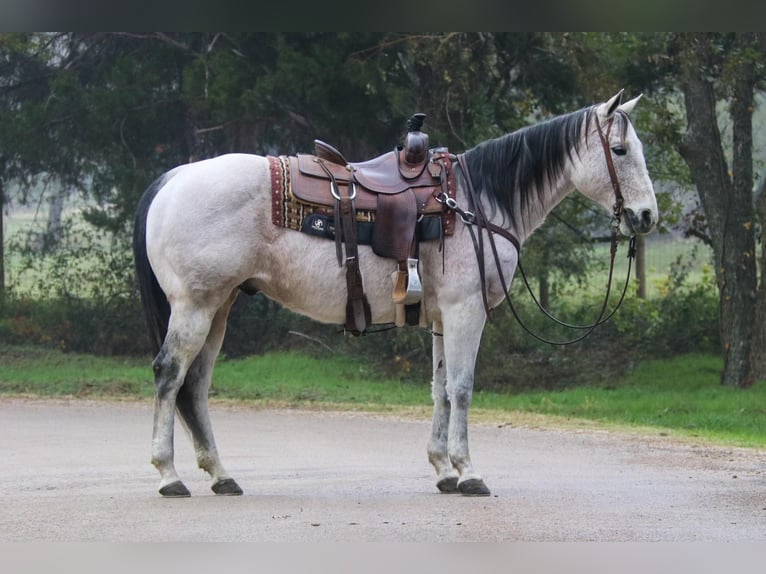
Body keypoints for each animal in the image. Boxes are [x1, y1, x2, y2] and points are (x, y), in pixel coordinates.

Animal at [134, 91, 660, 500]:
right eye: (620, 150)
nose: (647, 216)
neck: (474, 204)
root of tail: (173, 179)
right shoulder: (466, 312)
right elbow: (462, 388)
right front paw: (469, 473)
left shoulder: (442, 319)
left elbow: (440, 390)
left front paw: (444, 470)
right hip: (196, 307)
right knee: (169, 375)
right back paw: (169, 476)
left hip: (219, 308)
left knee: (196, 386)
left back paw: (221, 476)